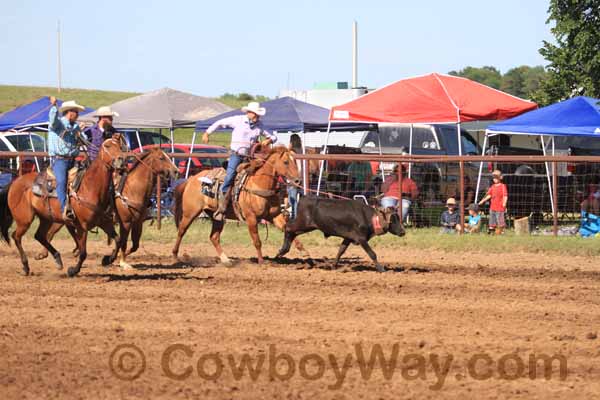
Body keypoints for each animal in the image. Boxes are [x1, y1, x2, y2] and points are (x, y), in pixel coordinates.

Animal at [0, 134, 126, 276]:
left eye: (120, 146)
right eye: (108, 146)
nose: (121, 161)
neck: (90, 188)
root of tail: (15, 182)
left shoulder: (105, 223)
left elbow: (118, 240)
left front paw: (107, 259)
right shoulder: (81, 226)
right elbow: (83, 252)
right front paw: (73, 270)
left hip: (46, 218)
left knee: (39, 235)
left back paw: (57, 259)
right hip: (24, 220)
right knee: (16, 236)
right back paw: (26, 266)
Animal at [35, 148, 179, 270]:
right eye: (161, 158)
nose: (176, 171)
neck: (132, 190)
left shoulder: (138, 223)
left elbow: (135, 245)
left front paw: (112, 258)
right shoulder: (125, 222)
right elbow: (124, 242)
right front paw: (122, 262)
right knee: (50, 233)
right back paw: (44, 254)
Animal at [172, 145, 308, 264]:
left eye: (295, 161)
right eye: (286, 162)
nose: (298, 180)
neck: (260, 184)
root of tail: (191, 179)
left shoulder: (274, 216)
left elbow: (288, 229)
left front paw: (302, 250)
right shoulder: (251, 218)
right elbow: (257, 241)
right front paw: (261, 261)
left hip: (217, 216)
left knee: (214, 237)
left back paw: (226, 260)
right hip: (190, 213)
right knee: (181, 231)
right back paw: (175, 256)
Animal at [278, 197, 406, 272]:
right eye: (393, 219)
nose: (403, 232)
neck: (370, 218)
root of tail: (303, 199)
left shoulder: (348, 238)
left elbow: (341, 251)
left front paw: (334, 265)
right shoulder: (361, 238)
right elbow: (372, 254)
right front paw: (381, 269)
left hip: (306, 226)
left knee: (292, 232)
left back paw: (283, 251)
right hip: (303, 223)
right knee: (288, 228)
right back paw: (282, 250)